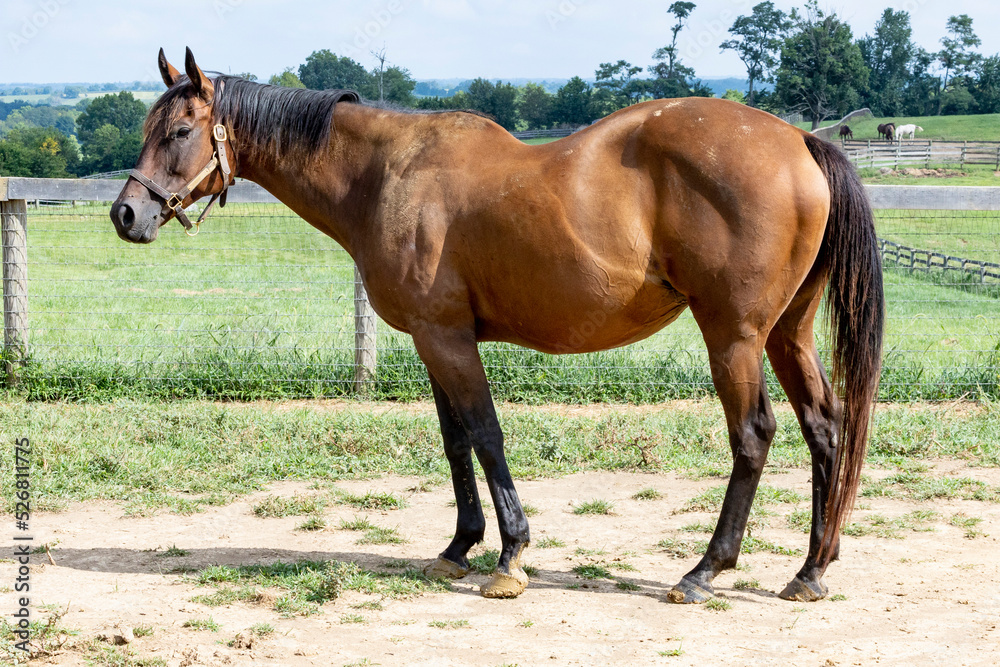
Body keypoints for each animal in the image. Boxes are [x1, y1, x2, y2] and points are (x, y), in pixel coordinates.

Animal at [113, 49, 888, 604]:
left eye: (178, 132)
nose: (127, 213)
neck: (385, 174)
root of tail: (799, 140)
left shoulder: (447, 340)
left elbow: (485, 435)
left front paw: (511, 555)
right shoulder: (433, 340)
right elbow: (455, 440)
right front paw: (460, 546)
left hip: (734, 336)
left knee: (754, 435)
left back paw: (704, 571)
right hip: (787, 333)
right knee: (826, 427)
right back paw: (811, 570)